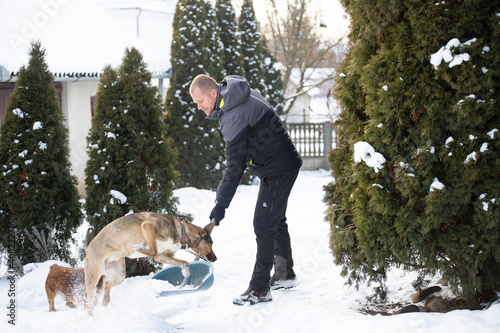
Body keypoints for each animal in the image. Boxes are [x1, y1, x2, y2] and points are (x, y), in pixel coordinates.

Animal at [84, 213, 217, 314]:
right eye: (211, 244)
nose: (215, 259)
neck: (181, 232)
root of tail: (88, 246)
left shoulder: (162, 256)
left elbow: (185, 264)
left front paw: (185, 276)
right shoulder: (148, 225)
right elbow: (152, 250)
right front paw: (139, 248)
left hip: (119, 274)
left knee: (107, 284)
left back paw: (105, 301)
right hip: (93, 276)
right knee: (89, 300)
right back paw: (91, 315)